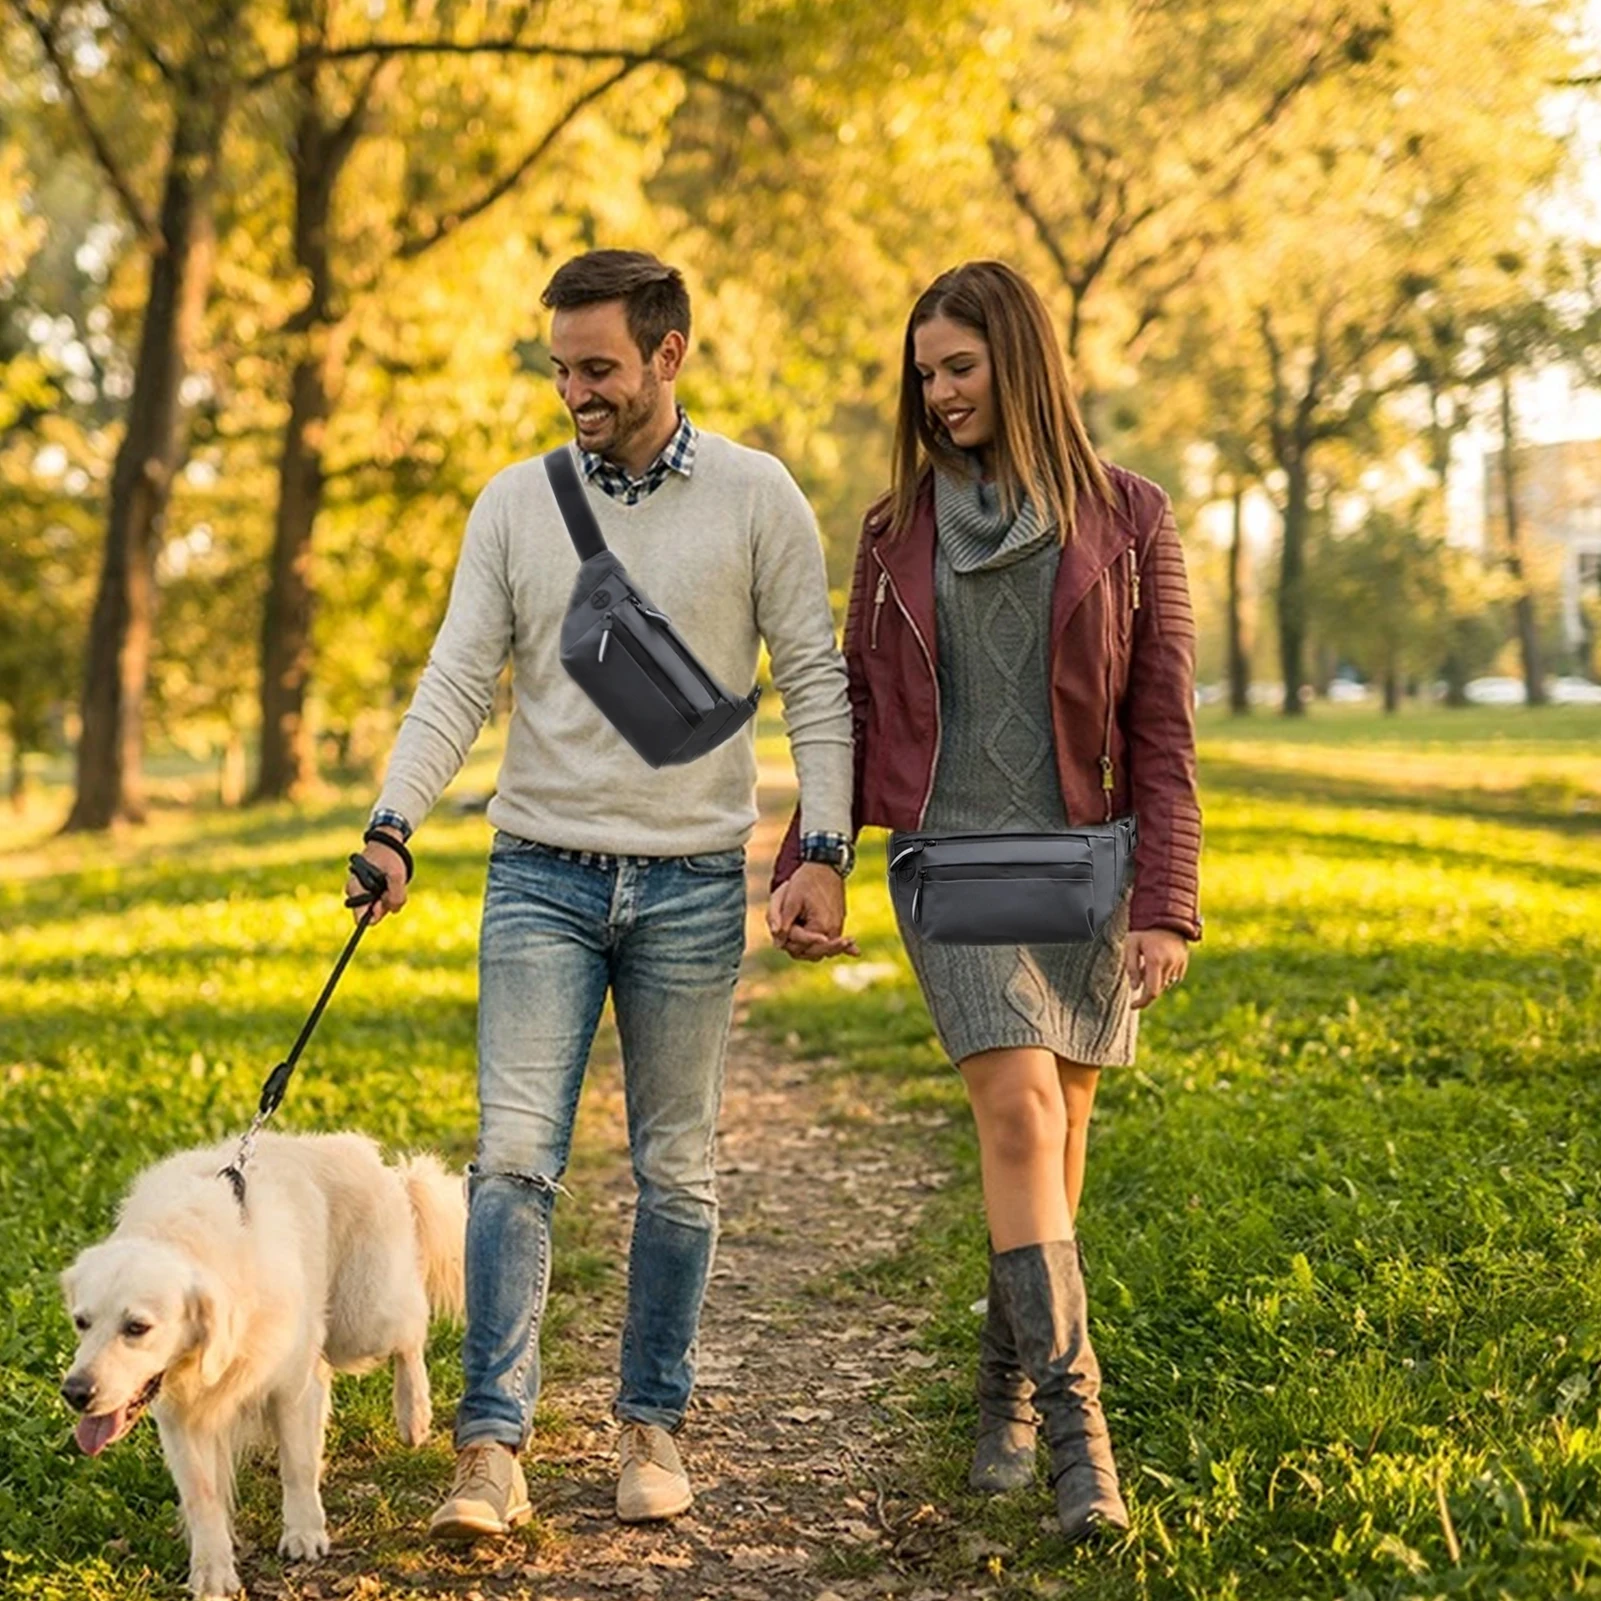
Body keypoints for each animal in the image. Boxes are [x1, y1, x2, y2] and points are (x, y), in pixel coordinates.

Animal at [59, 1133, 467, 1594]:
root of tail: (372, 1158)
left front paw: (304, 1532)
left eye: (137, 1327)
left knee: (411, 1331)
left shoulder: (289, 1389)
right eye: (81, 1322)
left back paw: (414, 1414)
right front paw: (212, 1570)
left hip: (362, 1321)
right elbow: (202, 1496)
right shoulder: (180, 1418)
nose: (74, 1392)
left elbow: (297, 1464)